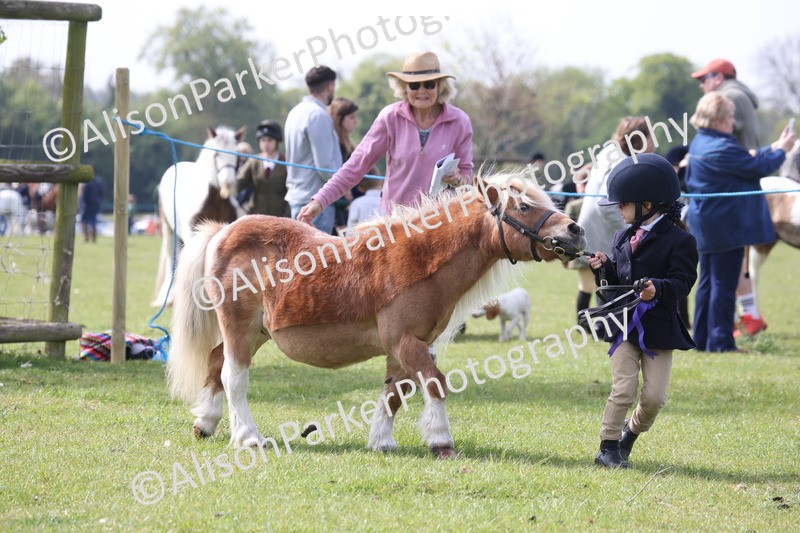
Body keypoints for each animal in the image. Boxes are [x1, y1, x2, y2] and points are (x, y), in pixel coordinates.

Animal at [152, 126, 246, 307]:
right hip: (169, 231)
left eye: (237, 154)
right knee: (171, 259)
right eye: (216, 154)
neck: (214, 199)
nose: (228, 183)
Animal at [166, 173, 586, 456]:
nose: (576, 231)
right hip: (238, 327)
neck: (420, 259)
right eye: (525, 206)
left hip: (255, 333)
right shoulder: (405, 341)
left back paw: (205, 423)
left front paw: (381, 441)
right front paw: (441, 440)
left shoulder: (406, 346)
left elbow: (394, 394)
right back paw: (248, 437)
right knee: (233, 378)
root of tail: (223, 232)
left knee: (215, 363)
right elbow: (434, 383)